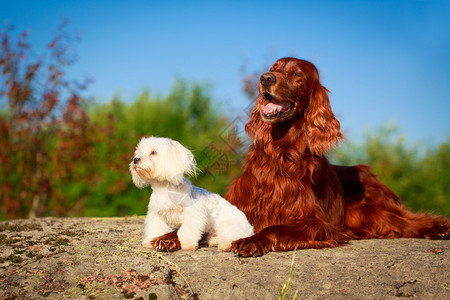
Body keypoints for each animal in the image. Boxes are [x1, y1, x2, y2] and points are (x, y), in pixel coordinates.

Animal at [153, 56, 448, 255]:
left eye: (296, 74)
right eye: (273, 68)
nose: (265, 78)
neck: (279, 153)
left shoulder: (315, 222)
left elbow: (275, 228)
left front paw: (250, 241)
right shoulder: (239, 205)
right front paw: (169, 236)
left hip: (373, 210)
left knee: (410, 221)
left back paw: (439, 228)